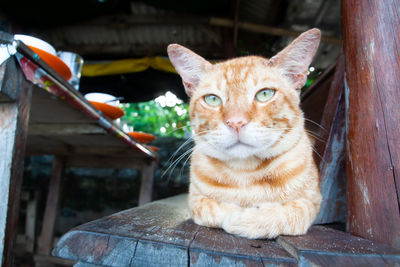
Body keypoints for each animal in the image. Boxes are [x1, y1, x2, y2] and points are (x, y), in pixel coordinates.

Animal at [168, 28, 322, 240]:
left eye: (264, 94)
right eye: (212, 99)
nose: (236, 122)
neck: (246, 172)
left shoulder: (312, 201)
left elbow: (288, 213)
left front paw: (247, 218)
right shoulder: (194, 199)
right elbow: (211, 208)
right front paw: (233, 212)